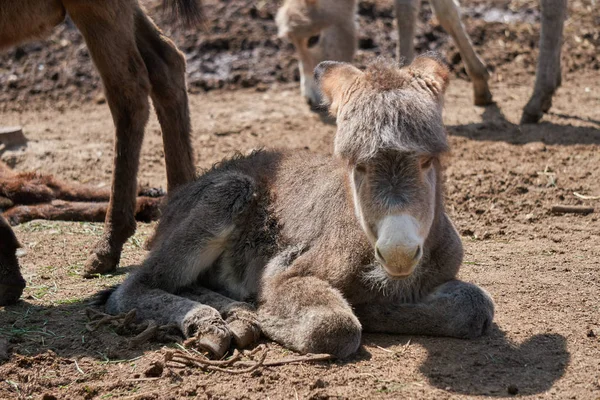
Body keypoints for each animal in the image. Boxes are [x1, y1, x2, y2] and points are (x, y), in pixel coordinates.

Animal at [105, 55, 494, 356]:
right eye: (357, 165)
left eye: (429, 161)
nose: (398, 252)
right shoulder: (288, 275)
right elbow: (334, 326)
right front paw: (362, 310)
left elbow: (476, 306)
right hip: (228, 191)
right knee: (133, 287)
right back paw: (217, 319)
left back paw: (233, 315)